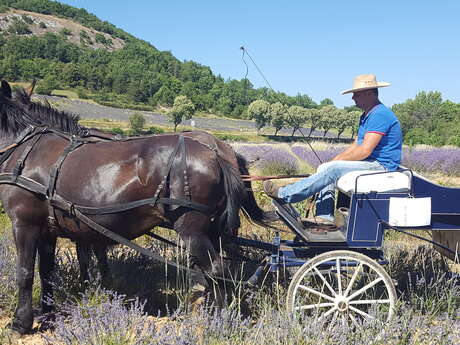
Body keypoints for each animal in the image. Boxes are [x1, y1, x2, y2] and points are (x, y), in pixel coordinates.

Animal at [0, 80, 266, 334]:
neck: (25, 150)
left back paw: (220, 320)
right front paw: (48, 313)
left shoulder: (24, 224)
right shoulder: (49, 229)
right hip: (211, 230)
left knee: (216, 269)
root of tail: (216, 153)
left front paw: (21, 322)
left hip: (193, 229)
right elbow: (47, 271)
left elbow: (24, 273)